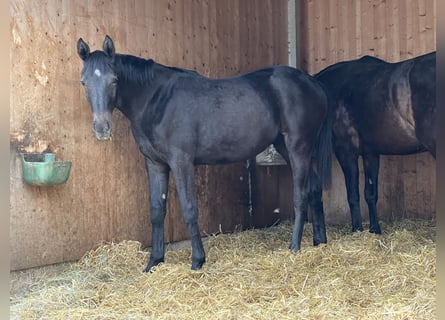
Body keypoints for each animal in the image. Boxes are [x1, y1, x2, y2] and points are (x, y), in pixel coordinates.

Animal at [314, 52, 436, 232]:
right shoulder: (370, 154)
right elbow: (370, 193)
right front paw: (374, 230)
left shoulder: (346, 152)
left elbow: (353, 194)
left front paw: (357, 229)